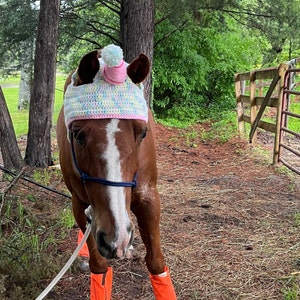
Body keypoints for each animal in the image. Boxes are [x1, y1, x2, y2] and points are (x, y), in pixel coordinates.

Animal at [56, 45, 176, 300]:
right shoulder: (79, 202)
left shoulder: (149, 198)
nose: (116, 236)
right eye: (78, 135)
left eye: (142, 133)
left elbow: (156, 263)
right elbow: (99, 267)